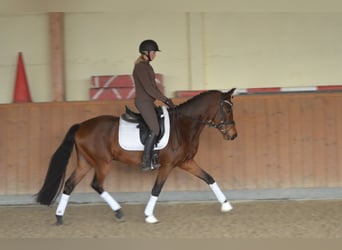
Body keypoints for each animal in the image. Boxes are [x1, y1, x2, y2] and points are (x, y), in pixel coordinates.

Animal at [35, 88, 238, 225]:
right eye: (228, 110)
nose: (233, 135)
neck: (184, 125)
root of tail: (81, 126)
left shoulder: (186, 162)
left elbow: (209, 178)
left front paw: (226, 204)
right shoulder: (168, 165)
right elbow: (156, 189)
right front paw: (149, 215)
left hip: (85, 163)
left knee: (69, 185)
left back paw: (59, 217)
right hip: (102, 163)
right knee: (97, 184)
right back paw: (118, 212)